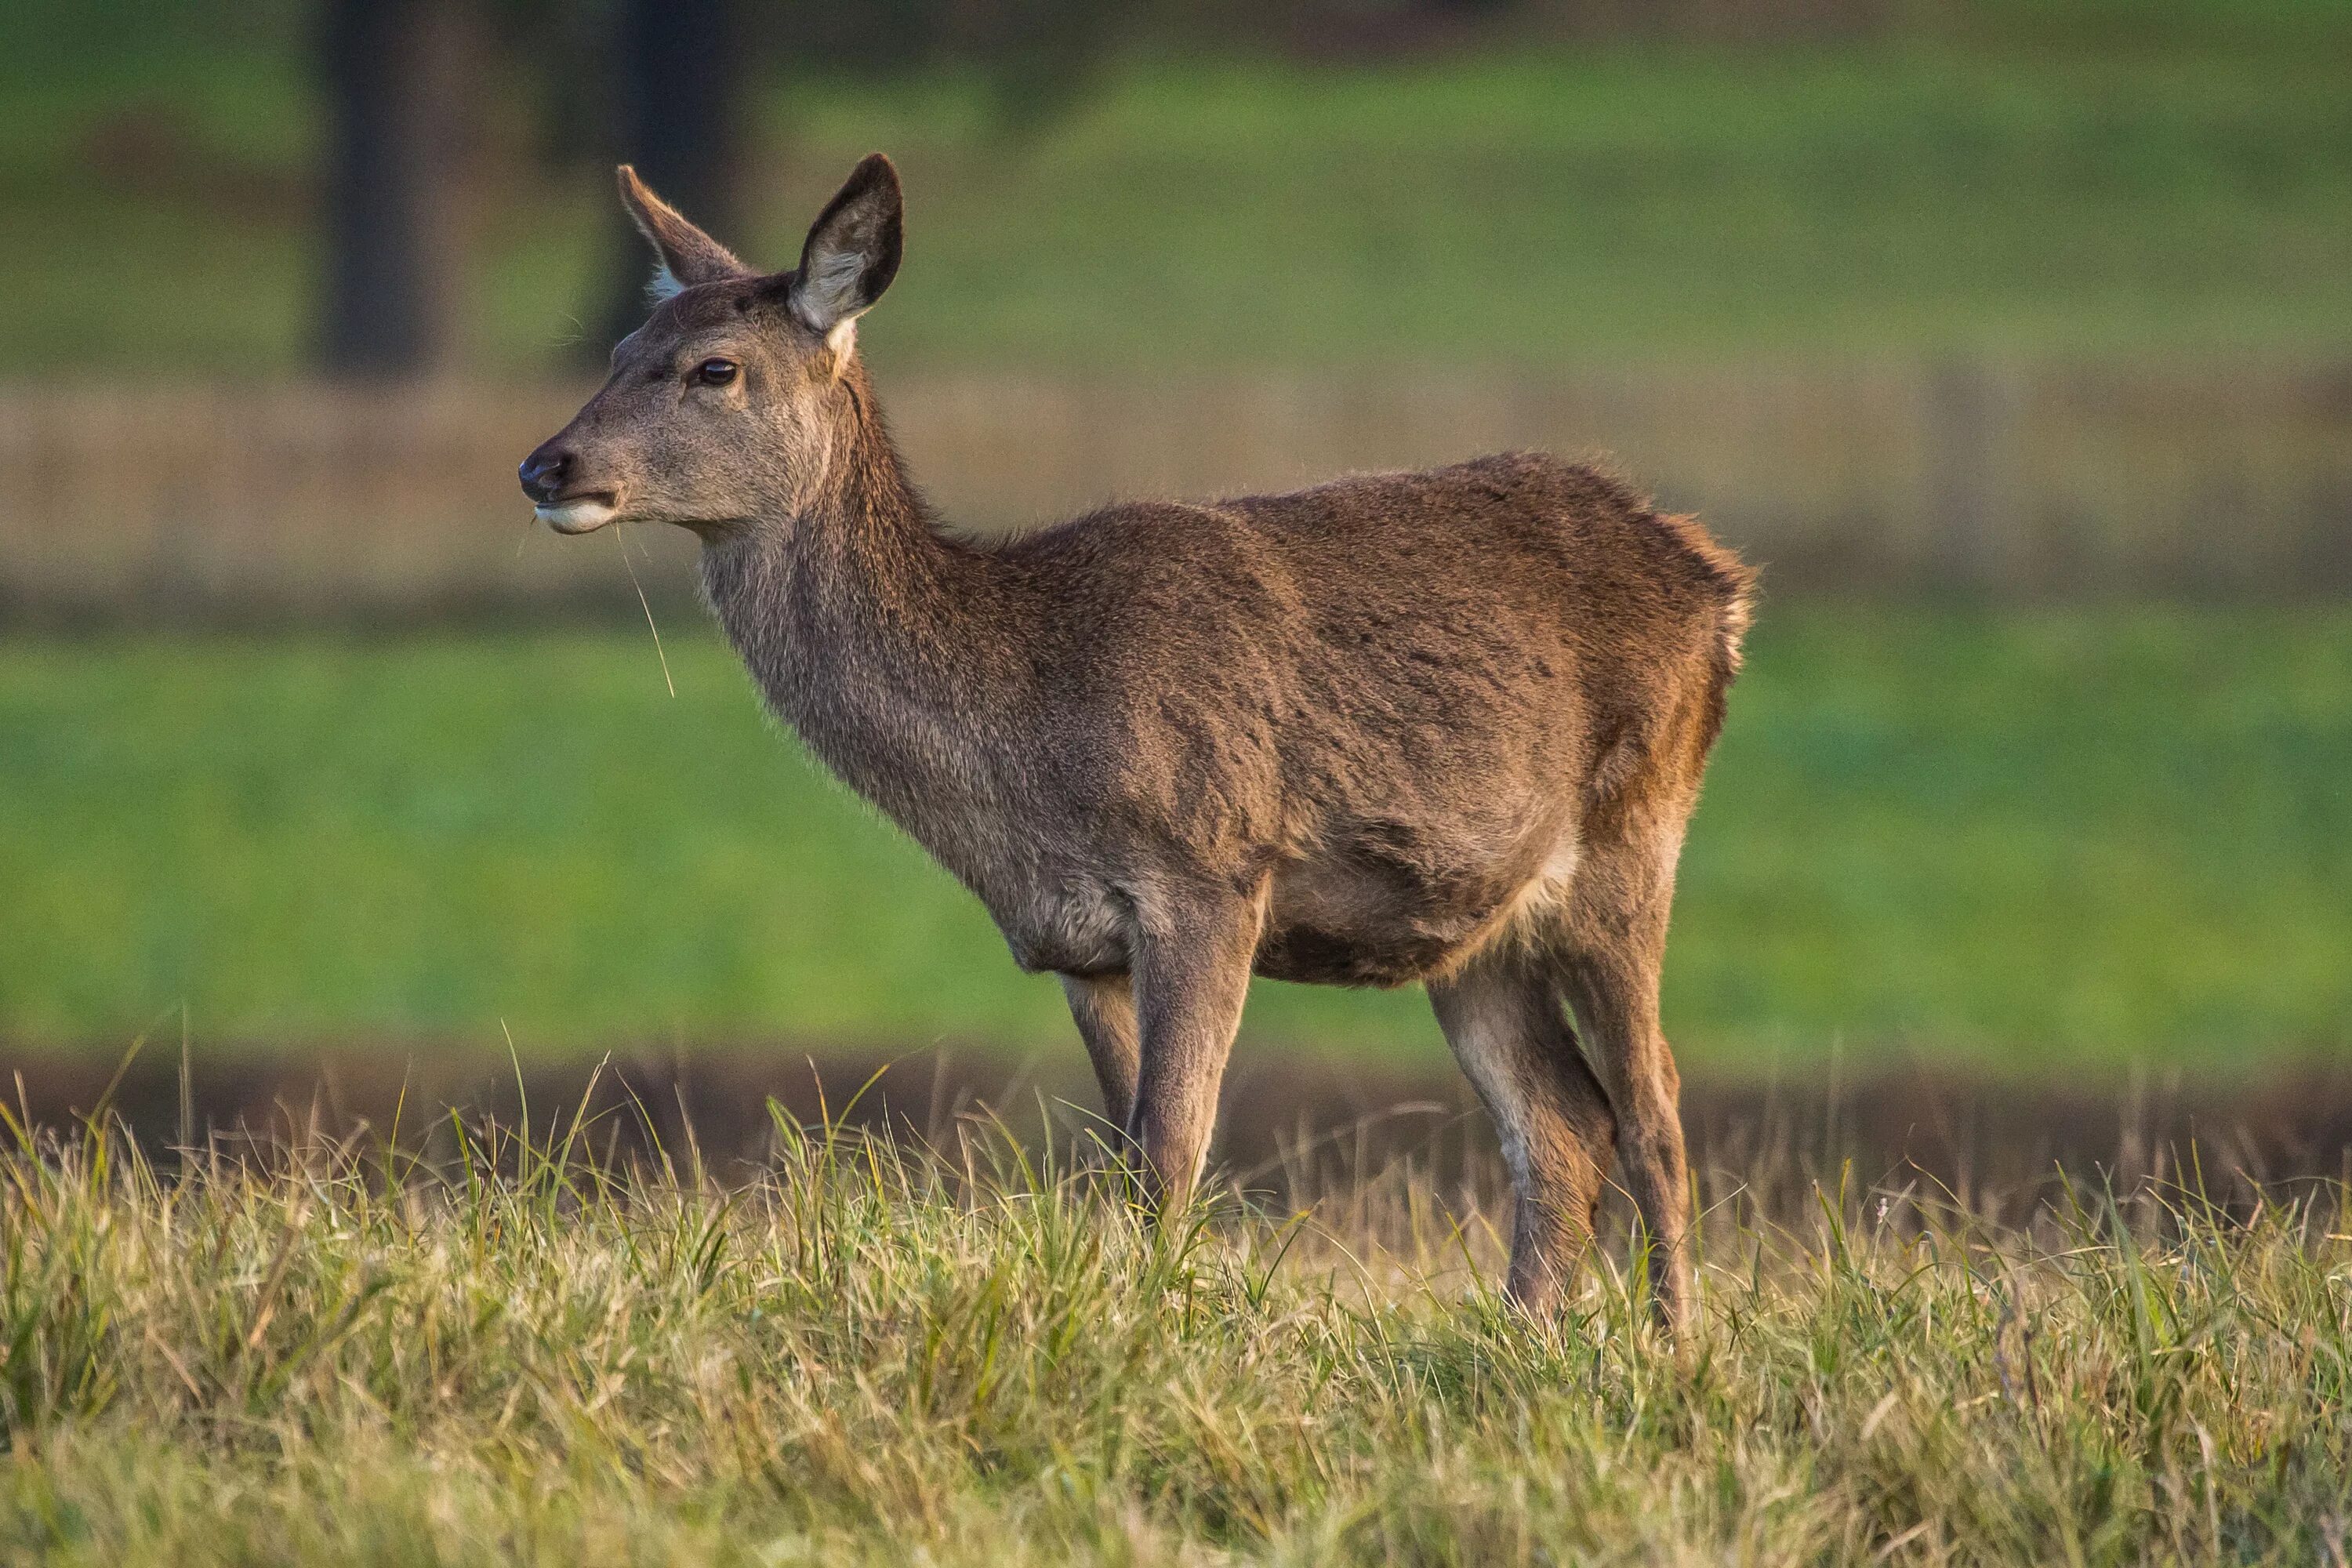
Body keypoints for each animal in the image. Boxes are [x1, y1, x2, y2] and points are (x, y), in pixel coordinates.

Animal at [524, 156, 1759, 1335]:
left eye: (715, 369)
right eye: (622, 348)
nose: (547, 466)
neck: (1027, 730)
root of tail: (1719, 583)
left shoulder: (1210, 874)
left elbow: (1171, 1156)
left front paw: (1154, 1341)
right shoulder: (1081, 944)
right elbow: (1124, 1163)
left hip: (1636, 831)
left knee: (1654, 1111)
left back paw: (1671, 1348)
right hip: (1473, 927)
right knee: (1563, 1124)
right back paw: (1520, 1342)